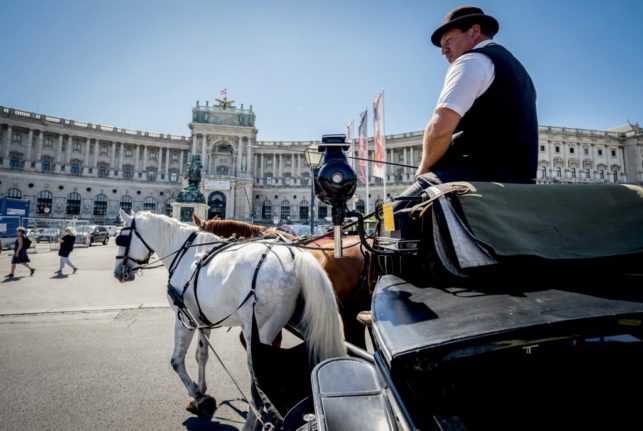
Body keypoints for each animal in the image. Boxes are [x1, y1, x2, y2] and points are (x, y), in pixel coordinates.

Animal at [115, 211, 348, 420]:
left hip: (261, 329)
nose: (118, 273)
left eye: (121, 238)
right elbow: (201, 355)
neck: (185, 254)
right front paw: (202, 390)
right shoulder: (203, 320)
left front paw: (196, 395)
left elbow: (176, 360)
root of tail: (297, 257)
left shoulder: (185, 317)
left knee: (260, 371)